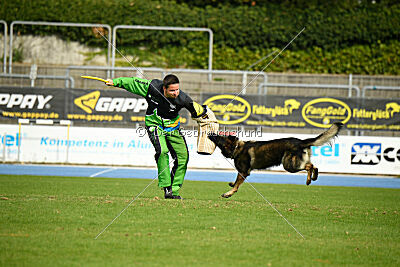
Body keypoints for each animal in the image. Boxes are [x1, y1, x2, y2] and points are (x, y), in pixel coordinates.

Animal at [208, 122, 342, 198]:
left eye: (218, 137)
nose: (209, 133)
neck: (236, 147)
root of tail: (301, 141)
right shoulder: (242, 173)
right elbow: (236, 182)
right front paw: (231, 184)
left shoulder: (244, 172)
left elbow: (236, 186)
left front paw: (228, 194)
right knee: (314, 166)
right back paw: (313, 178)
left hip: (289, 165)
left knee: (309, 166)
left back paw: (309, 180)